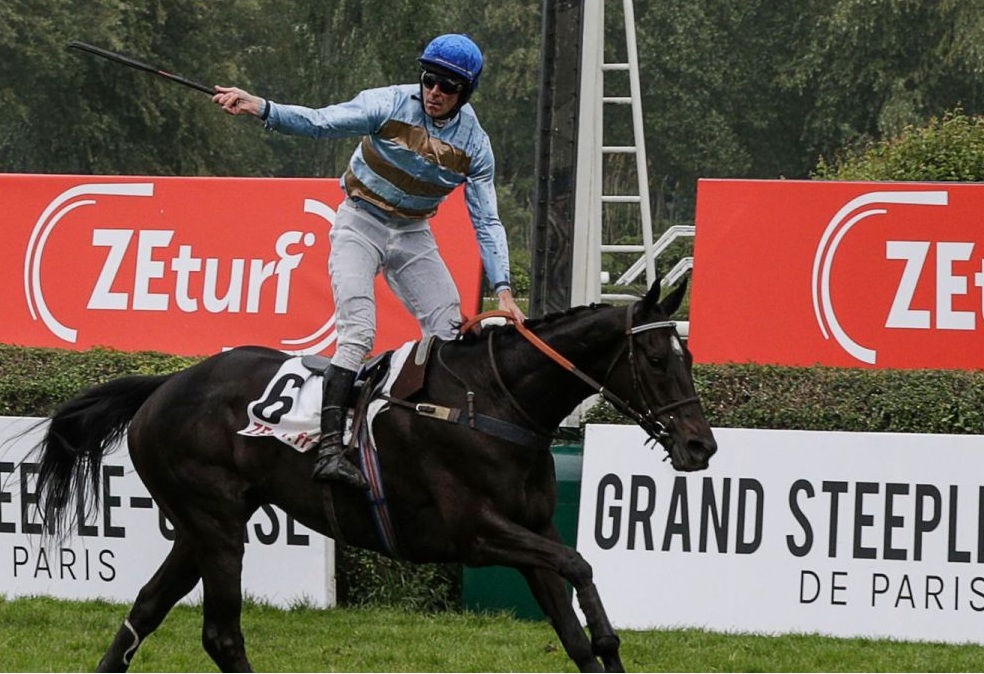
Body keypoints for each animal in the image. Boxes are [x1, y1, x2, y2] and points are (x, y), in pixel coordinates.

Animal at [32, 276, 716, 668]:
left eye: (687, 353)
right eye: (657, 359)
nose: (701, 445)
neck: (493, 403)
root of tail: (164, 385)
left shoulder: (532, 532)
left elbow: (574, 629)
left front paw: (600, 639)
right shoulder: (477, 534)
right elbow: (581, 565)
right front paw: (604, 632)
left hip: (200, 526)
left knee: (146, 608)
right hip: (215, 523)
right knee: (222, 634)